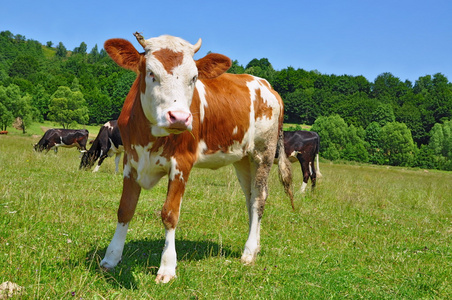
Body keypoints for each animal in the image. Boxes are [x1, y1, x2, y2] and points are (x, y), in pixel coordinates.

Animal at [99, 32, 294, 284]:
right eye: (151, 73)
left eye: (194, 77)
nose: (180, 117)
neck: (149, 137)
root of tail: (267, 85)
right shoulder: (130, 162)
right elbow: (125, 208)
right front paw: (111, 258)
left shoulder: (182, 163)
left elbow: (170, 213)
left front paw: (167, 267)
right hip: (243, 159)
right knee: (250, 198)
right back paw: (256, 246)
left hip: (264, 152)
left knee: (259, 198)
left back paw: (249, 252)